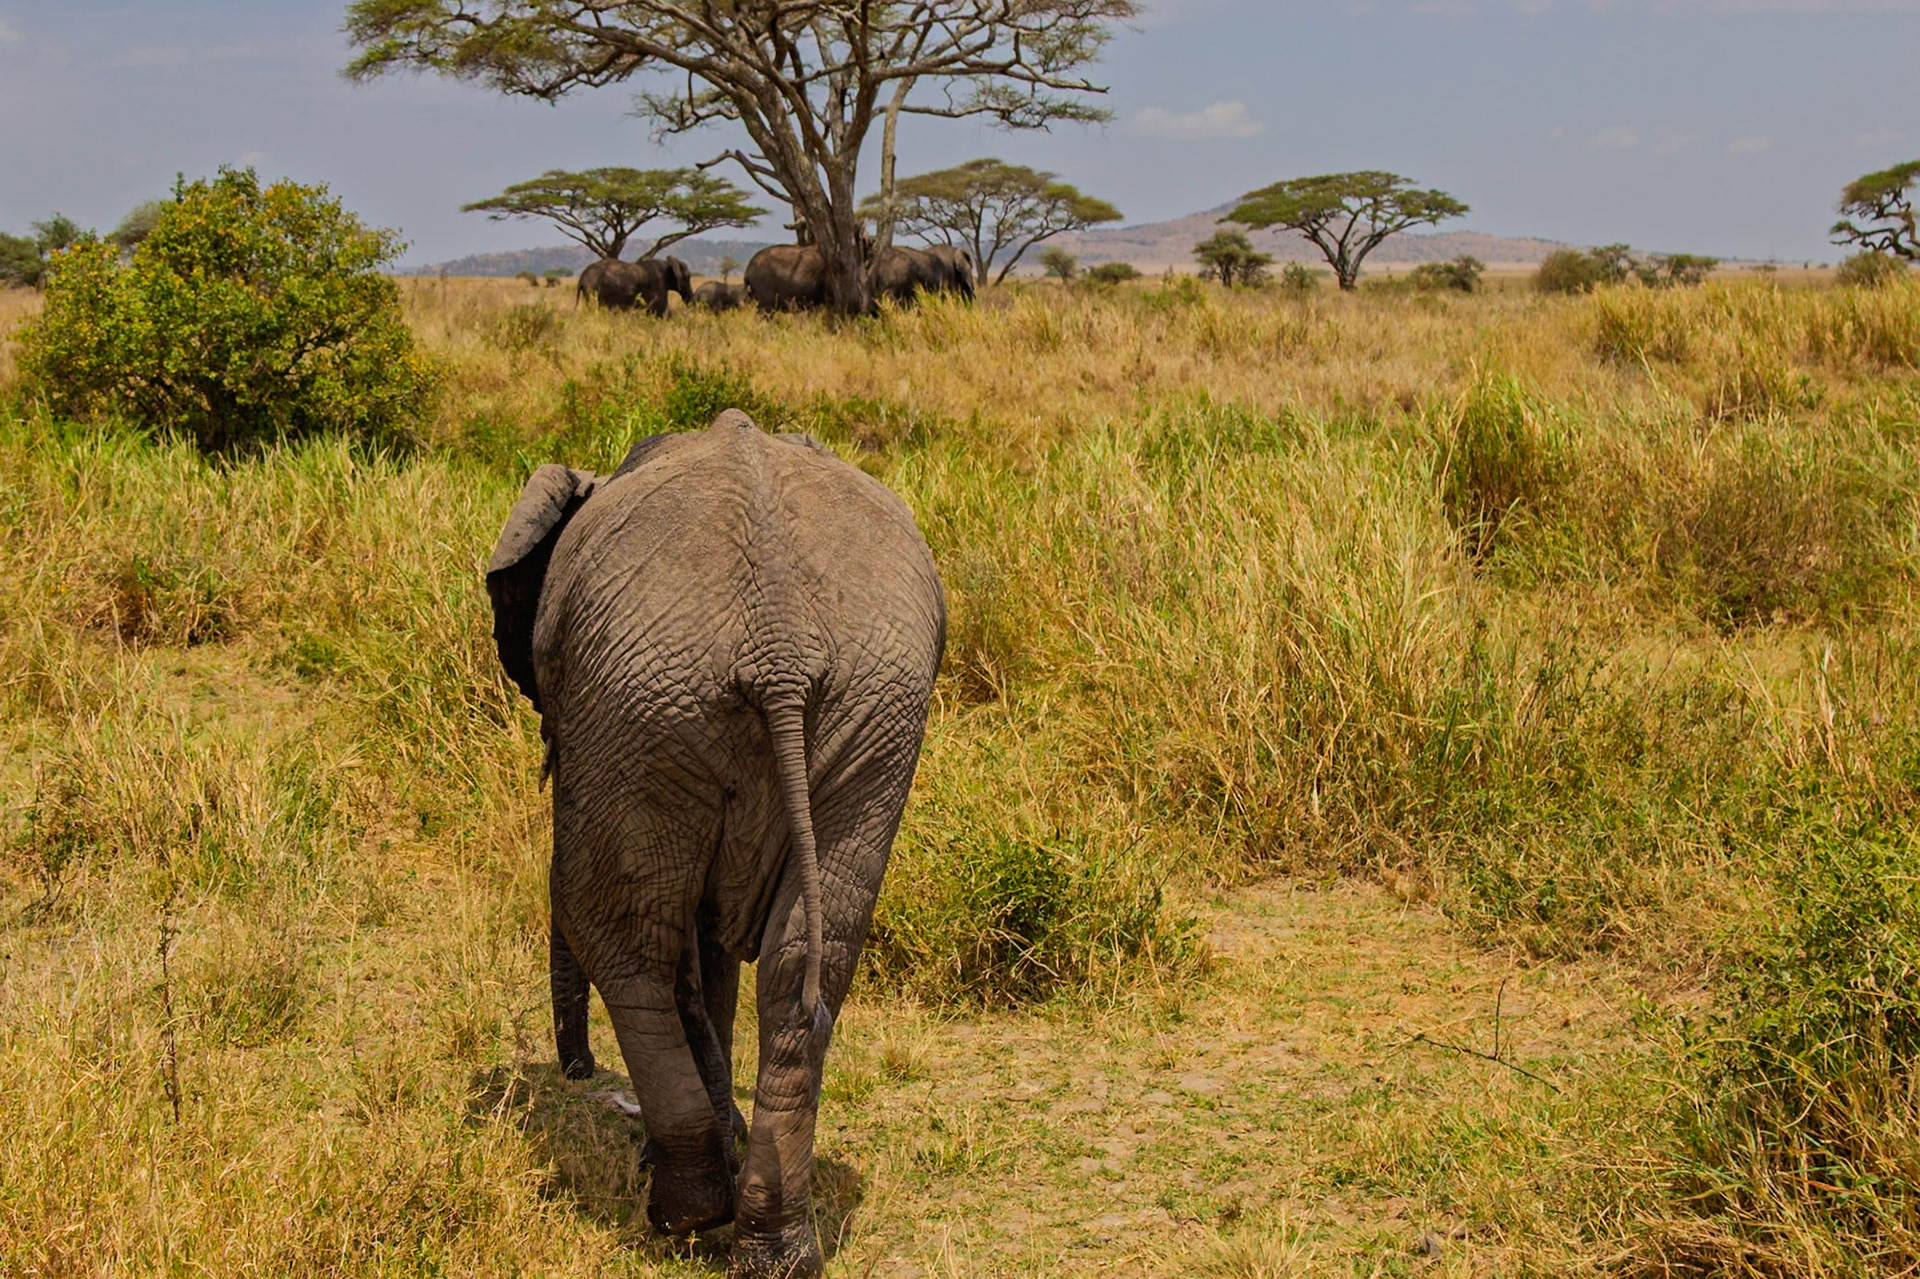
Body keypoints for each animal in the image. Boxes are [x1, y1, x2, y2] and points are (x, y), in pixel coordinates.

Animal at [486, 410, 946, 1279]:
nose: (575, 1069)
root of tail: (779, 646)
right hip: (866, 705)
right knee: (810, 957)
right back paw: (775, 1249)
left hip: (642, 704)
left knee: (624, 940)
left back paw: (684, 1211)